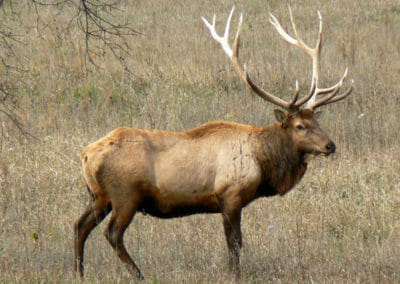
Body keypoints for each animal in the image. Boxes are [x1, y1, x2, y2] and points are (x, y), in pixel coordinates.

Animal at [73, 6, 352, 280]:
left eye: (317, 120)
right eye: (300, 126)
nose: (330, 145)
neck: (263, 162)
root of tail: (86, 154)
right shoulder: (230, 195)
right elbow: (235, 243)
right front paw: (234, 274)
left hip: (99, 196)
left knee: (79, 225)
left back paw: (79, 272)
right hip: (125, 195)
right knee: (112, 233)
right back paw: (138, 274)